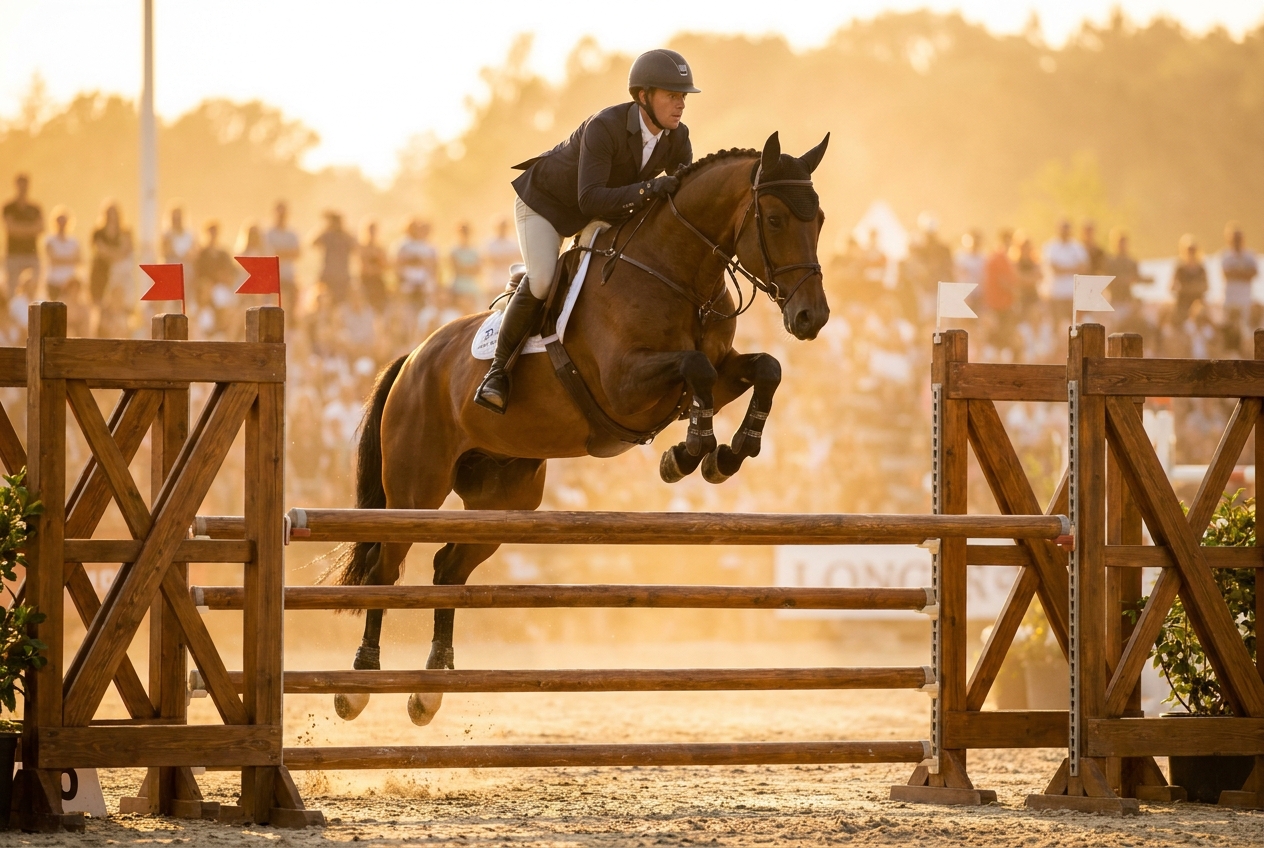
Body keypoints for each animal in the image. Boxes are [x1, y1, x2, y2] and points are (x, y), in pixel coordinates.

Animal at [330, 131, 831, 725]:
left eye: (819, 219)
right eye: (774, 219)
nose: (812, 318)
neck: (675, 270)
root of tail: (411, 359)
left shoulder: (719, 368)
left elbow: (764, 369)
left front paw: (727, 454)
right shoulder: (625, 385)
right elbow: (696, 370)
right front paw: (689, 453)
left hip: (507, 499)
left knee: (449, 568)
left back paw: (429, 689)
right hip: (416, 490)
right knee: (386, 567)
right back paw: (358, 684)